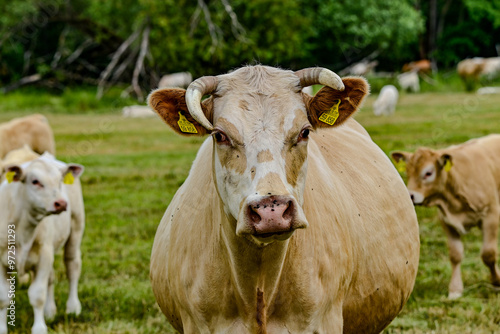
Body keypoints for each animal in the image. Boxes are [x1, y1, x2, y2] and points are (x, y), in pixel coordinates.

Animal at [0, 151, 85, 334]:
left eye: (60, 181)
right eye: (35, 181)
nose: (61, 203)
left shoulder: (43, 257)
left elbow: (37, 295)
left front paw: (39, 328)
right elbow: (3, 297)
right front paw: (2, 328)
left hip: (75, 230)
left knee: (72, 267)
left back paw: (73, 307)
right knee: (51, 278)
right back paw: (50, 311)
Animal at [390, 134, 500, 298]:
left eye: (428, 173)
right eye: (407, 173)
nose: (411, 196)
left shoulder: (491, 215)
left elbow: (488, 254)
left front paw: (496, 282)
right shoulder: (446, 221)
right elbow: (455, 255)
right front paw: (455, 290)